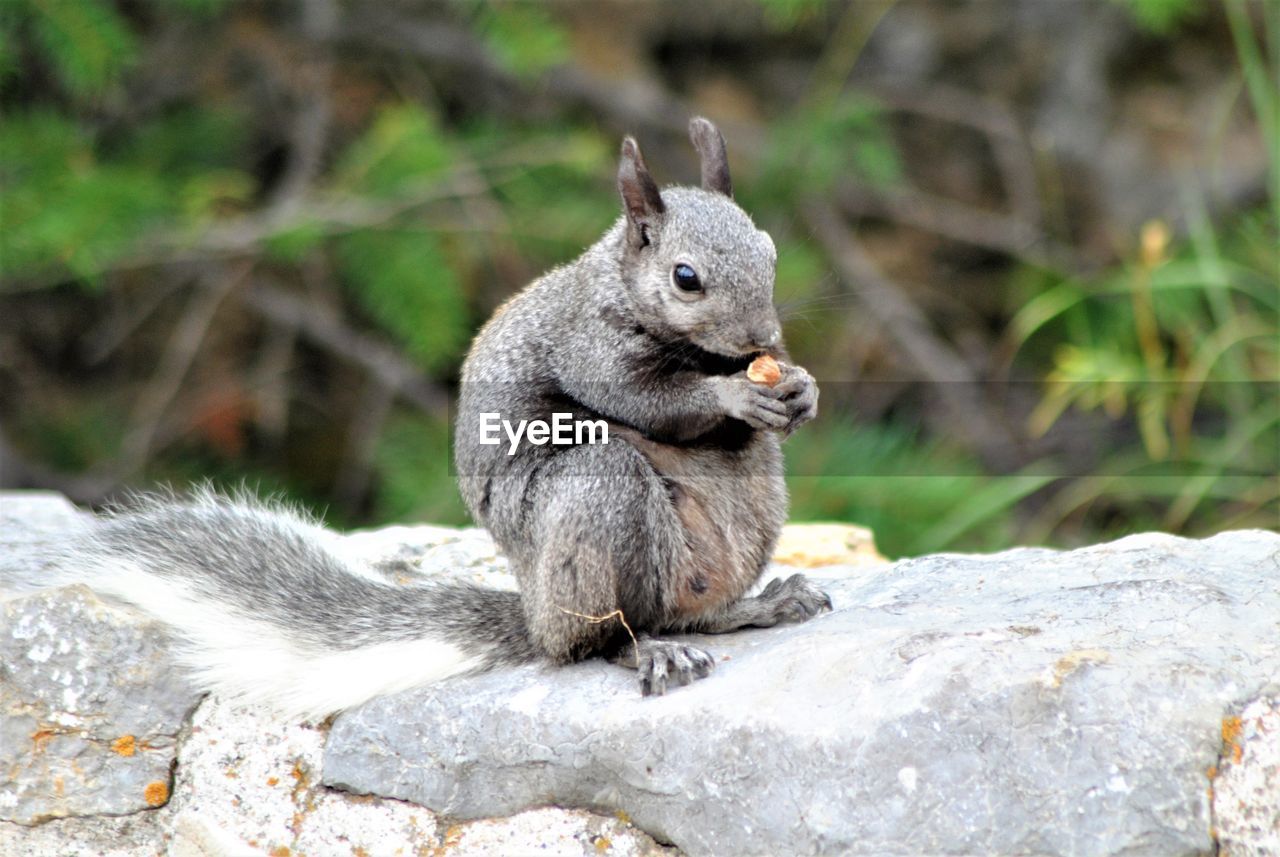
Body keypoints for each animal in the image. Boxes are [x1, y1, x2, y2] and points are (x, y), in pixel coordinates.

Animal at [0, 117, 829, 721]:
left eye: (769, 250)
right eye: (686, 278)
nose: (764, 339)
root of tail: (532, 610)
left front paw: (801, 388)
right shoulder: (586, 345)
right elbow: (643, 400)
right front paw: (732, 396)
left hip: (750, 507)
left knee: (695, 611)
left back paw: (755, 604)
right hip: (595, 505)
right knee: (595, 637)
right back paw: (643, 649)